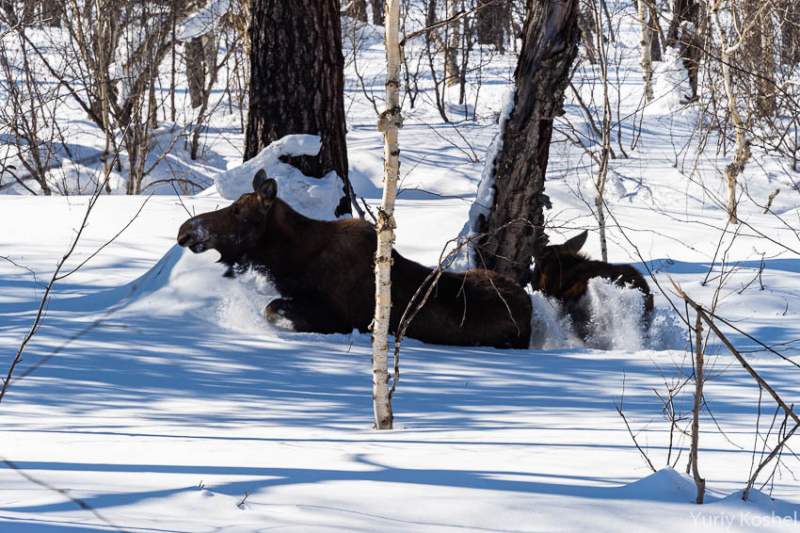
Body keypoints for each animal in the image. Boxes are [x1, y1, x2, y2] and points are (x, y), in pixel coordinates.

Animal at [178, 168, 536, 348]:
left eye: (238, 211)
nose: (186, 231)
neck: (289, 261)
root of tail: (530, 311)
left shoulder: (338, 317)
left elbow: (270, 309)